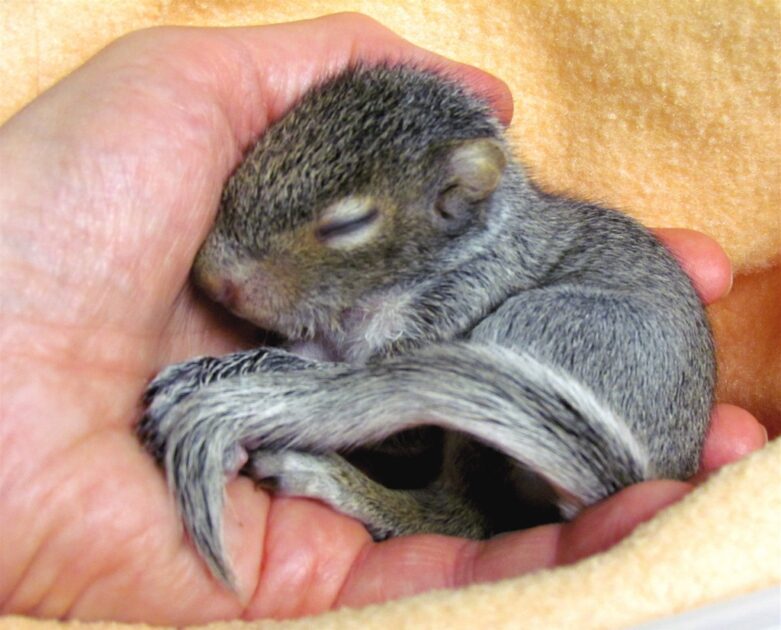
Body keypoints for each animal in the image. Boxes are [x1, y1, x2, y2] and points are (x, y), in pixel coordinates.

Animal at [137, 65, 716, 589]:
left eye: (349, 224)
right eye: (255, 152)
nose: (212, 278)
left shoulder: (456, 309)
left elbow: (372, 406)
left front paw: (213, 383)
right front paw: (212, 371)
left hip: (535, 331)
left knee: (463, 516)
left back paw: (334, 482)